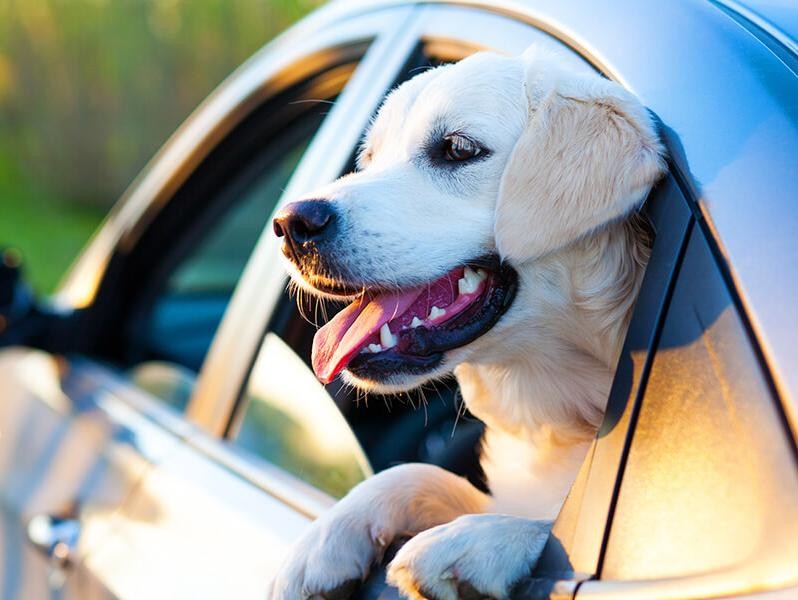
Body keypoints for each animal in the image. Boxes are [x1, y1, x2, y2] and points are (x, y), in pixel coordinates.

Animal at [268, 47, 668, 600]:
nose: (291, 224)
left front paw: (484, 542)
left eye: (457, 149)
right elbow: (417, 472)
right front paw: (324, 541)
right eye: (369, 159)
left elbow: (550, 530)